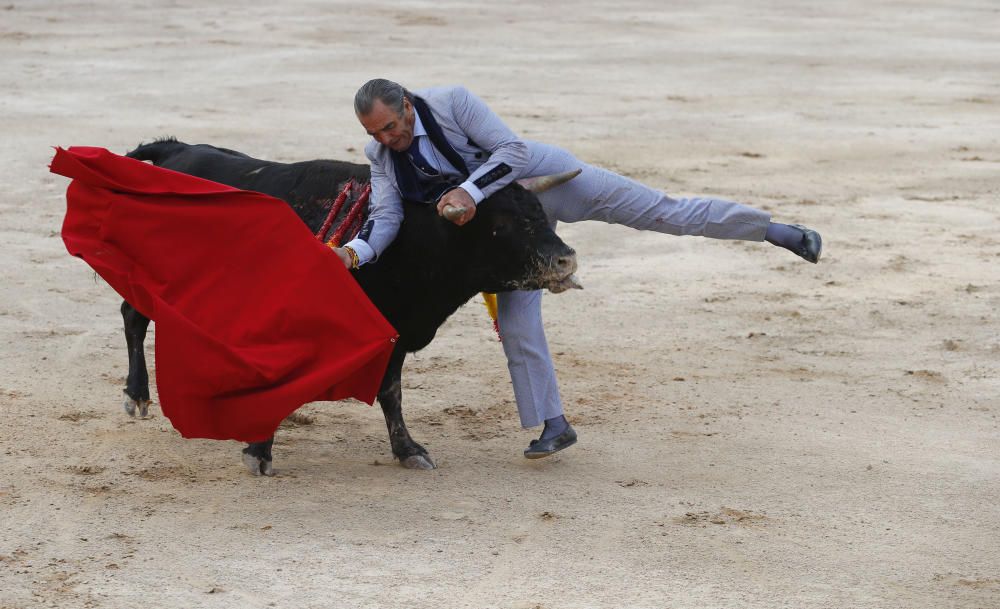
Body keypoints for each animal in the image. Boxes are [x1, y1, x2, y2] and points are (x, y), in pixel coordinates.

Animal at [119, 139, 580, 476]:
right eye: (504, 224)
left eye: (541, 213)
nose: (566, 260)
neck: (409, 238)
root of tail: (174, 149)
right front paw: (259, 449)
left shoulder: (395, 330)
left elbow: (391, 392)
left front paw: (408, 450)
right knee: (134, 317)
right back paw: (139, 396)